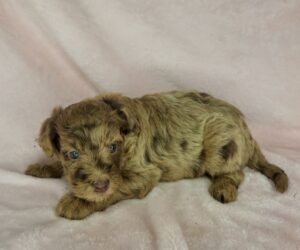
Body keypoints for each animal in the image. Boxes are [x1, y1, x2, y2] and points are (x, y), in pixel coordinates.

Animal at [25, 91, 288, 219]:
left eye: (113, 147)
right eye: (72, 154)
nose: (99, 185)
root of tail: (246, 131)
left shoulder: (143, 174)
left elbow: (116, 188)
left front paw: (78, 202)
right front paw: (43, 167)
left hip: (220, 144)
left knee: (235, 172)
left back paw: (223, 186)